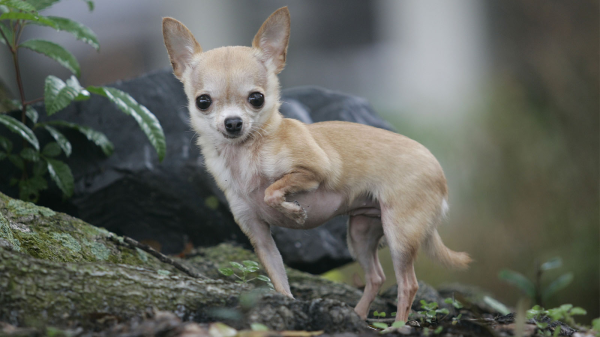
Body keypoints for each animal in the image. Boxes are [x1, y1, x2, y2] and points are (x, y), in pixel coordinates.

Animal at [162, 5, 472, 320]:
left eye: (256, 98)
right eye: (203, 102)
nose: (233, 123)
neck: (245, 155)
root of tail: (438, 171)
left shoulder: (315, 171)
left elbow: (272, 190)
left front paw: (294, 211)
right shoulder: (259, 236)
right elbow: (278, 277)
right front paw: (286, 303)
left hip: (400, 233)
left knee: (408, 284)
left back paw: (397, 325)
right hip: (360, 233)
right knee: (376, 277)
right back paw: (358, 315)